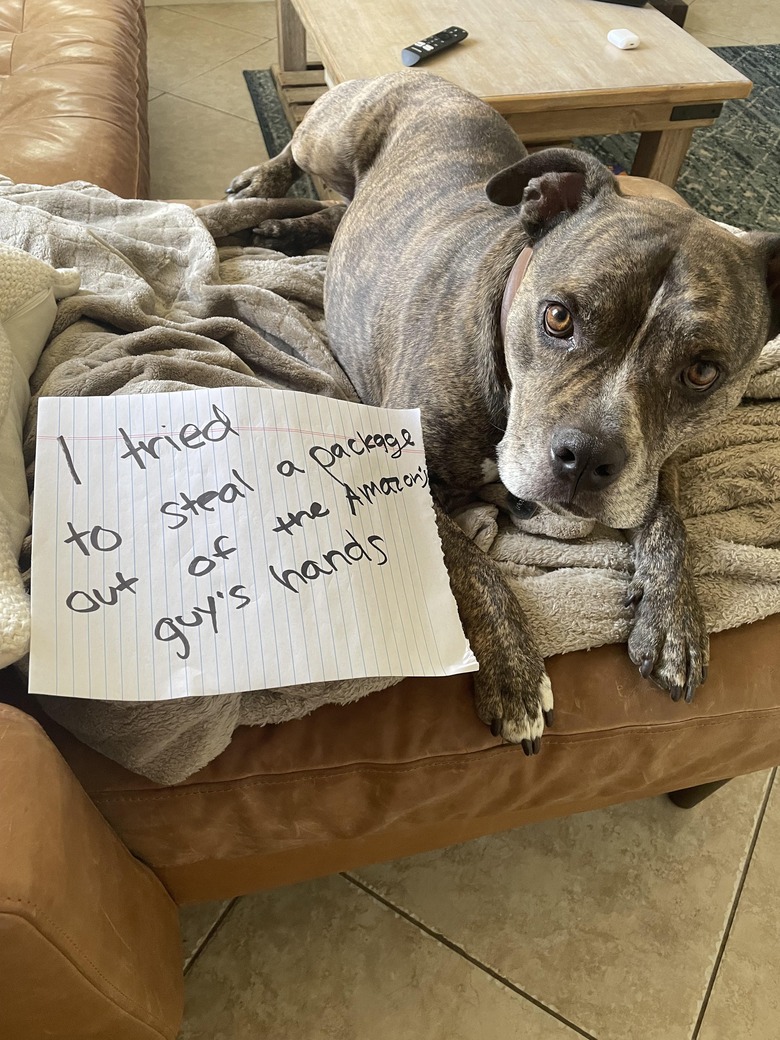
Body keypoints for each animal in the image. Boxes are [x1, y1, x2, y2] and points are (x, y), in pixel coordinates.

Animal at [228, 75, 780, 757]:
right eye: (558, 317)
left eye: (703, 372)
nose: (585, 458)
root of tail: (428, 77)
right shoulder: (397, 481)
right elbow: (473, 566)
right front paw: (515, 672)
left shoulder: (655, 463)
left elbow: (670, 521)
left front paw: (677, 620)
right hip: (332, 138)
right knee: (298, 148)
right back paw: (262, 187)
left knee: (337, 214)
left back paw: (286, 231)